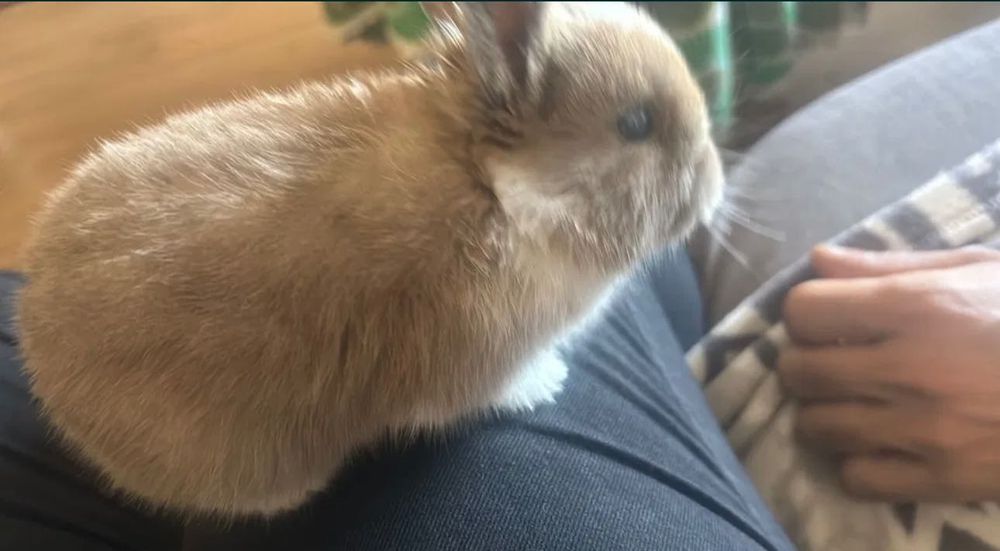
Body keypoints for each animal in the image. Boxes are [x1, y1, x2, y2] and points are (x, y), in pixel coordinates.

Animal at [15, 1, 724, 518]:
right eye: (635, 124)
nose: (715, 183)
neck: (497, 189)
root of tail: (35, 345)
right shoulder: (476, 359)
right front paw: (547, 384)